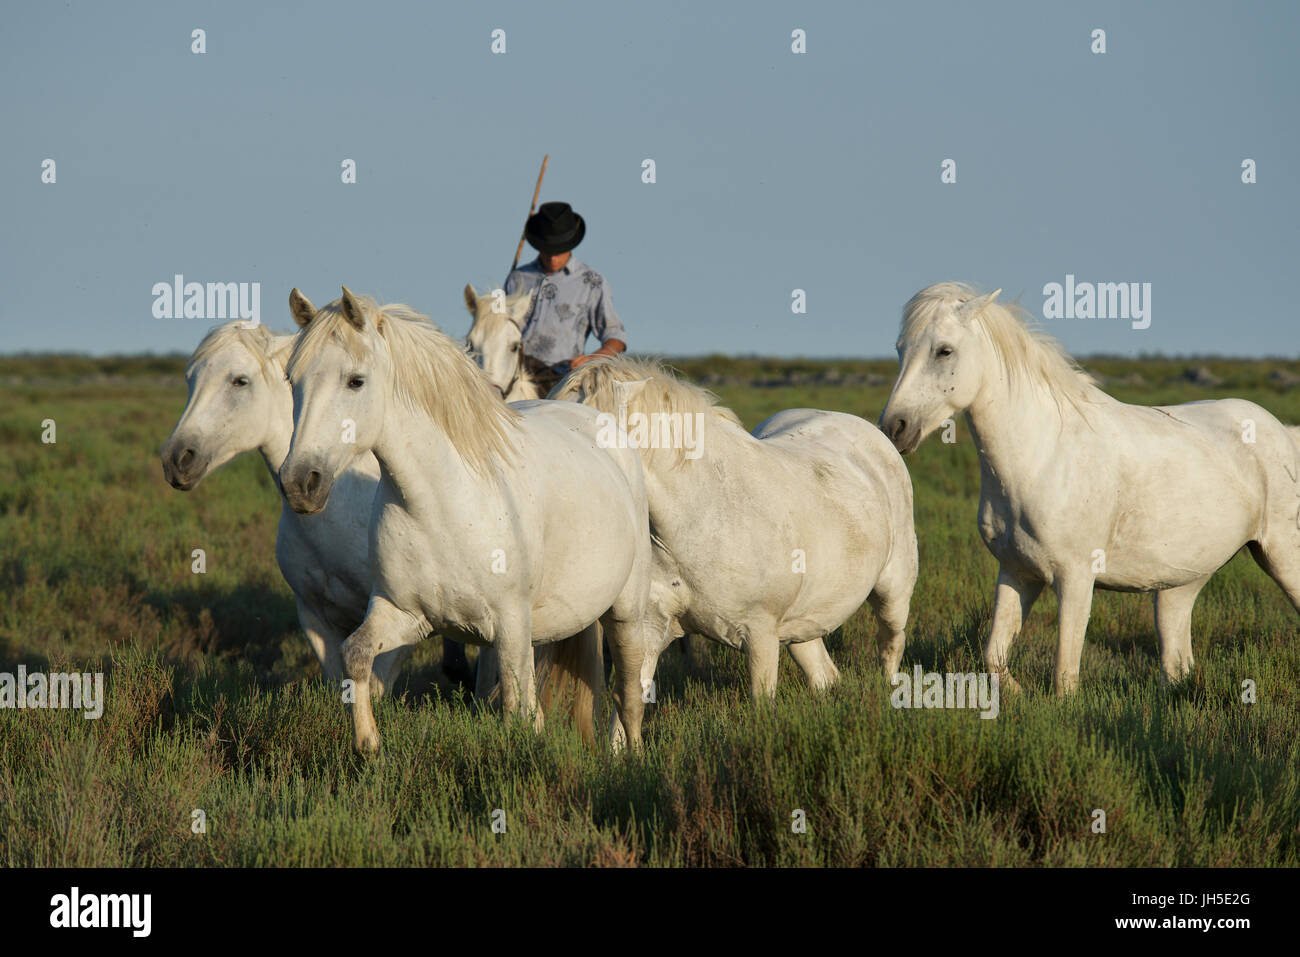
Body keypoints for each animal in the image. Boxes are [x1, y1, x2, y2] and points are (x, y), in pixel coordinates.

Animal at [280, 287, 655, 748]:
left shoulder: (511, 628)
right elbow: (356, 655)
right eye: (291, 381)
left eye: (355, 380)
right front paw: (369, 745)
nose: (300, 483)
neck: (441, 503)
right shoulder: (404, 614)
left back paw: (630, 755)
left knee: (630, 695)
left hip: (626, 613)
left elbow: (519, 710)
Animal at [553, 358, 920, 712]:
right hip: (802, 625)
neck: (696, 517)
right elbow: (627, 707)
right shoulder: (650, 630)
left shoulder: (760, 635)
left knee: (891, 646)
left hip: (893, 592)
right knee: (824, 675)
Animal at [873, 280, 1300, 691]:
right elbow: (994, 655)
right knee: (1177, 662)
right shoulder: (1017, 572)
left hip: (1281, 555)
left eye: (944, 351)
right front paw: (1016, 693)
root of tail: (1283, 432)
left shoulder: (1075, 578)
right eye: (899, 349)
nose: (894, 427)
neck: (1044, 456)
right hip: (1180, 585)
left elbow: (1065, 675)